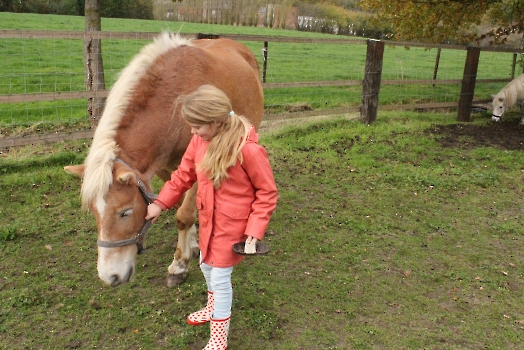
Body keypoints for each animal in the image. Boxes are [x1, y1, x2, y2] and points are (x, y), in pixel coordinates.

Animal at [64, 32, 262, 286]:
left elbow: (184, 215)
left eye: (125, 212)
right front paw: (192, 244)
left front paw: (179, 265)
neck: (175, 103)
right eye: (93, 212)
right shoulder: (163, 169)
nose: (111, 276)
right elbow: (178, 203)